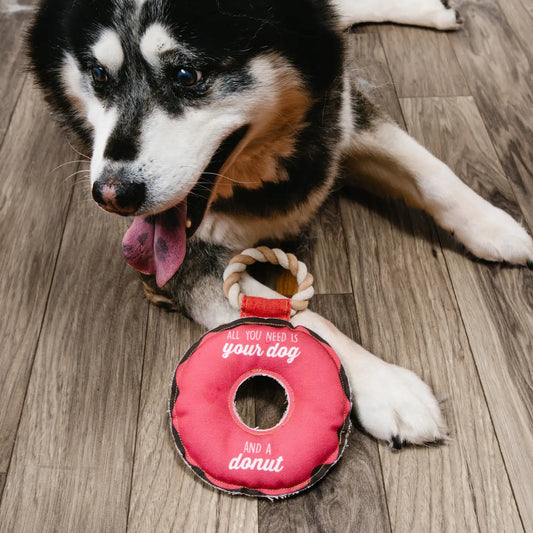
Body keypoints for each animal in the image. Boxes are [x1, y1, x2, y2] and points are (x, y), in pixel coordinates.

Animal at [29, 0, 532, 448]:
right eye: (99, 76)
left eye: (187, 76)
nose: (111, 196)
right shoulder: (184, 267)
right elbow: (303, 317)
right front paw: (386, 386)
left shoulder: (342, 114)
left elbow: (432, 172)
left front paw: (497, 227)